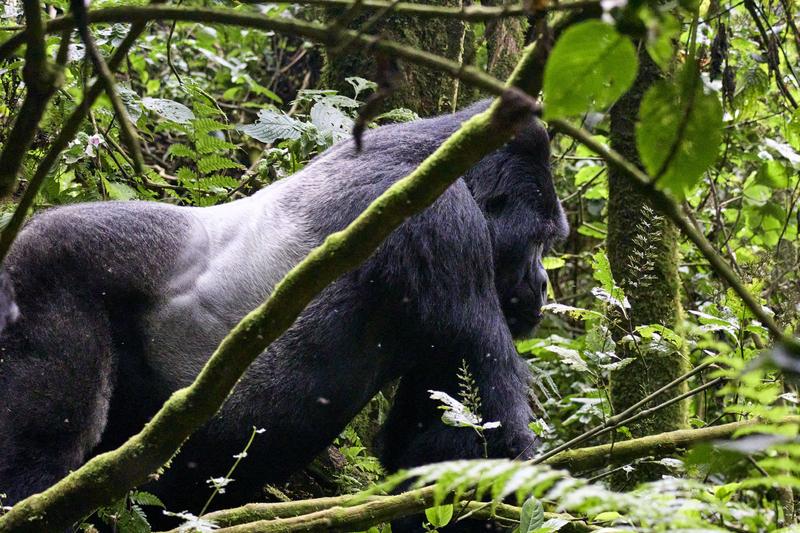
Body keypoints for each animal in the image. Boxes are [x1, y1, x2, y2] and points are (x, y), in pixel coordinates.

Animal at [0, 100, 568, 528]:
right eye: (540, 241)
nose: (542, 285)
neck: (446, 157)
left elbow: (427, 448)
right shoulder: (442, 223)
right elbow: (487, 440)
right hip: (46, 272)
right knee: (43, 455)